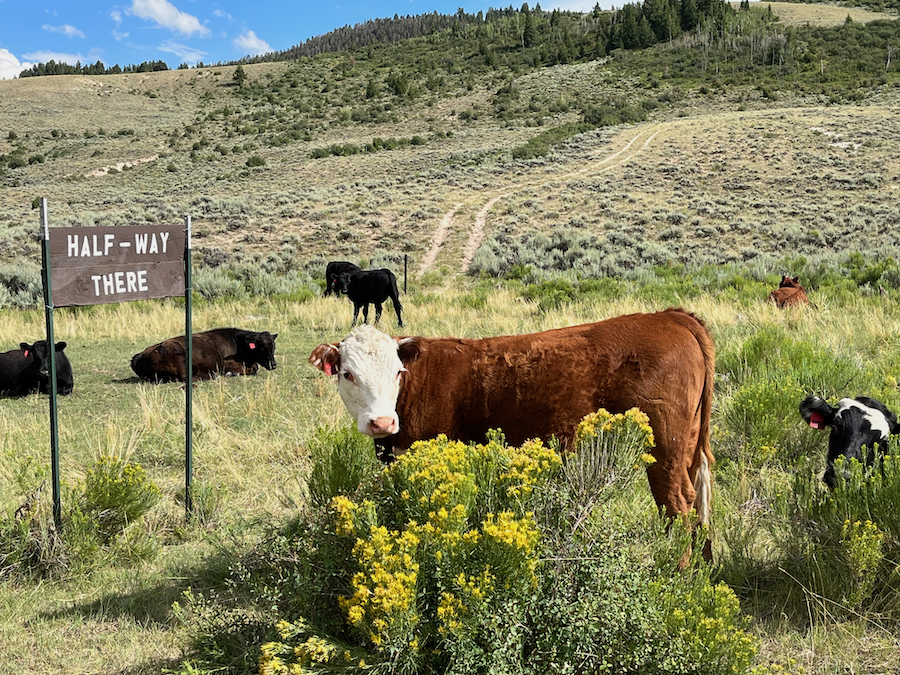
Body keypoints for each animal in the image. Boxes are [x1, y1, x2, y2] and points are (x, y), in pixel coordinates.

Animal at [131, 328, 278, 383]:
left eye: (274, 347)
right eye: (261, 347)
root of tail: (139, 355)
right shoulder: (227, 364)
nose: (273, 365)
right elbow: (253, 369)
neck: (238, 343)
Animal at [310, 308, 715, 560]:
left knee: (677, 504)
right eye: (347, 374)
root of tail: (671, 316)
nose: (381, 423)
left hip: (665, 448)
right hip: (690, 446)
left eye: (397, 371)